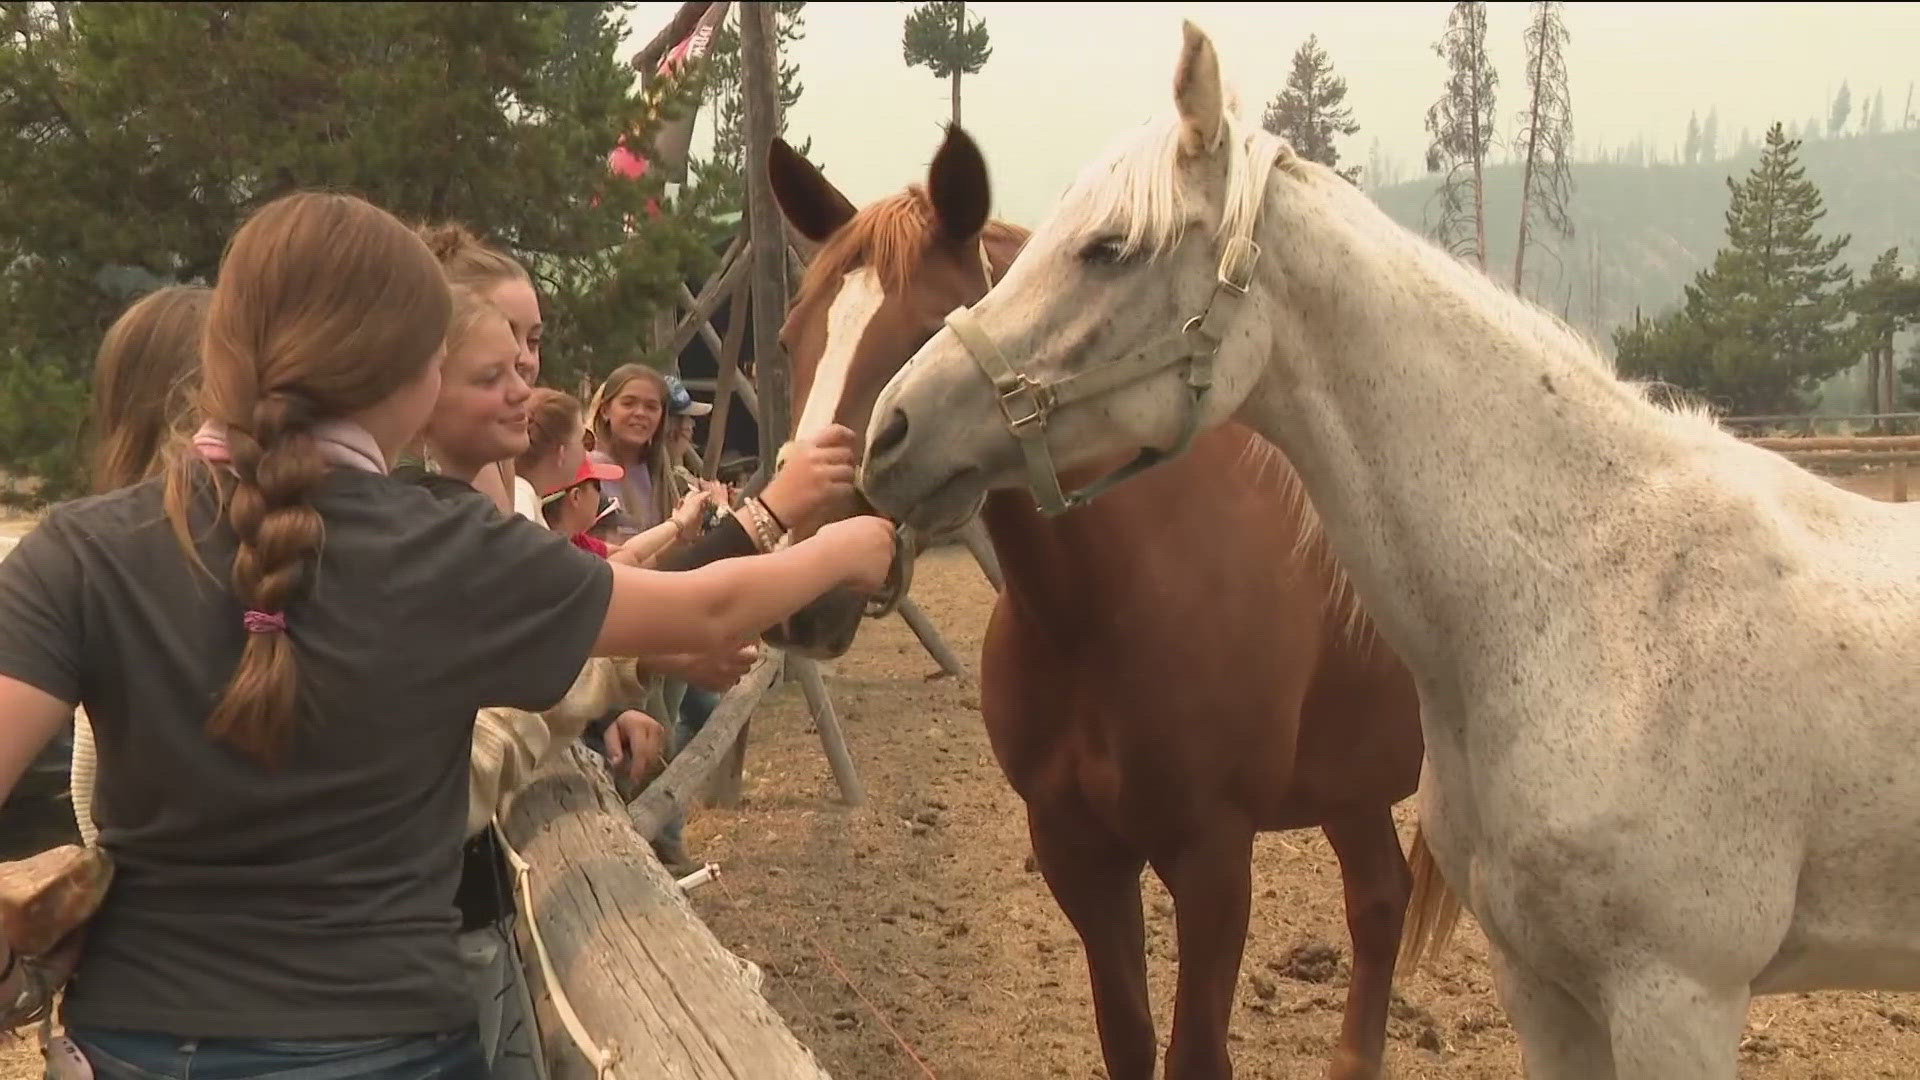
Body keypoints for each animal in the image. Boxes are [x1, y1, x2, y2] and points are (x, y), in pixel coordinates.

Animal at [764, 127, 1451, 1076]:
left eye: (922, 330)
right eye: (795, 337)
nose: (809, 580)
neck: (1108, 604)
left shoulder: (1213, 858)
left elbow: (1195, 1054)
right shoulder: (1076, 852)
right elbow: (1127, 1038)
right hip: (1352, 784)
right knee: (1380, 903)